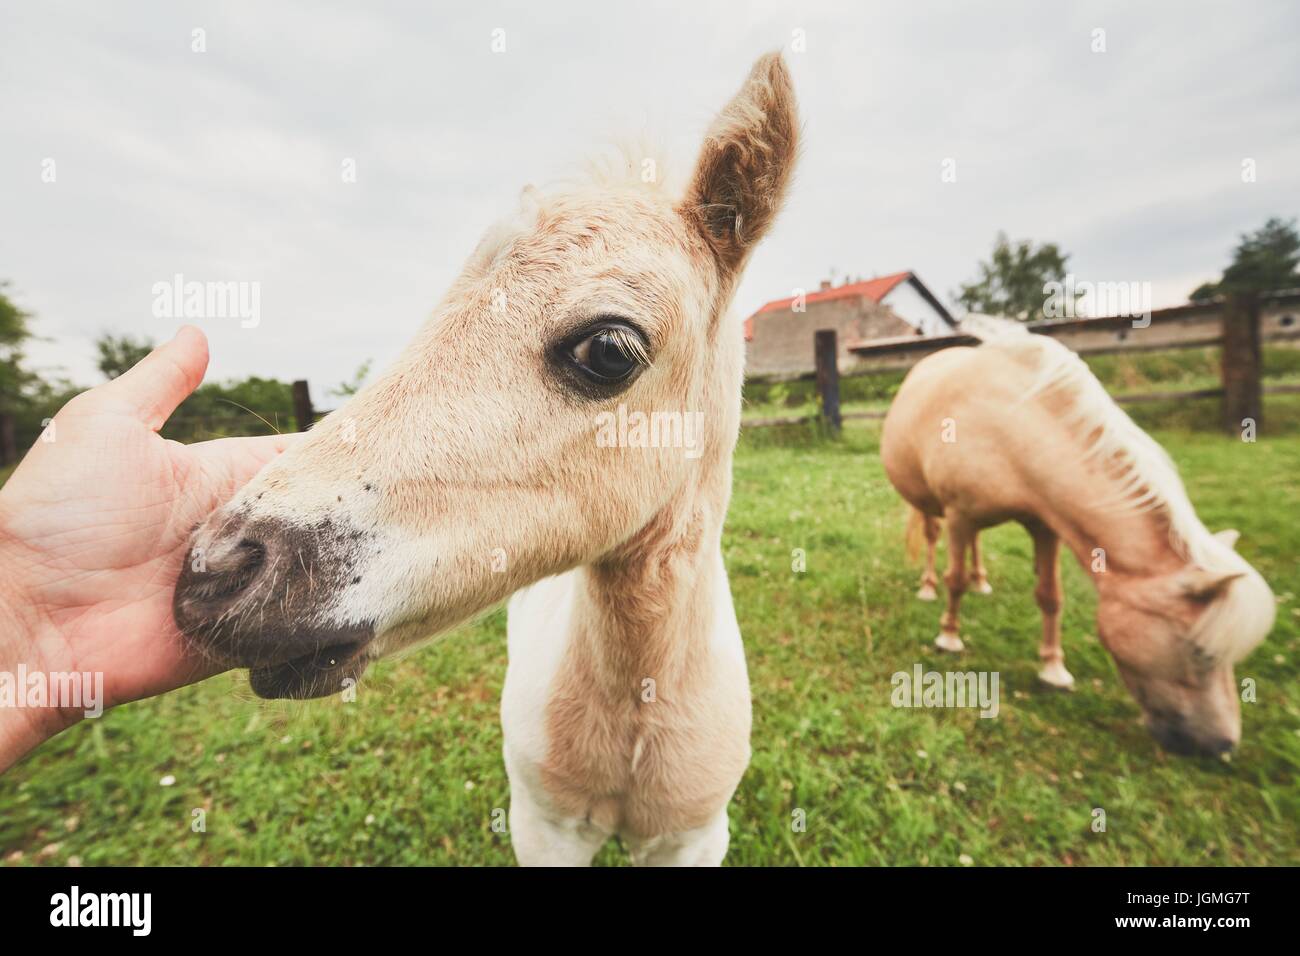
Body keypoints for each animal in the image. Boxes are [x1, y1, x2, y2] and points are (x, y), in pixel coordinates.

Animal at [880, 319, 1275, 757]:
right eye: (1201, 653)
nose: (1223, 745)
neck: (1009, 427)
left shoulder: (1045, 524)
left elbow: (1050, 596)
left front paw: (1053, 670)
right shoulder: (959, 515)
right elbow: (955, 581)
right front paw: (948, 637)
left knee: (976, 549)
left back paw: (982, 581)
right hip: (931, 507)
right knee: (934, 540)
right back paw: (928, 586)